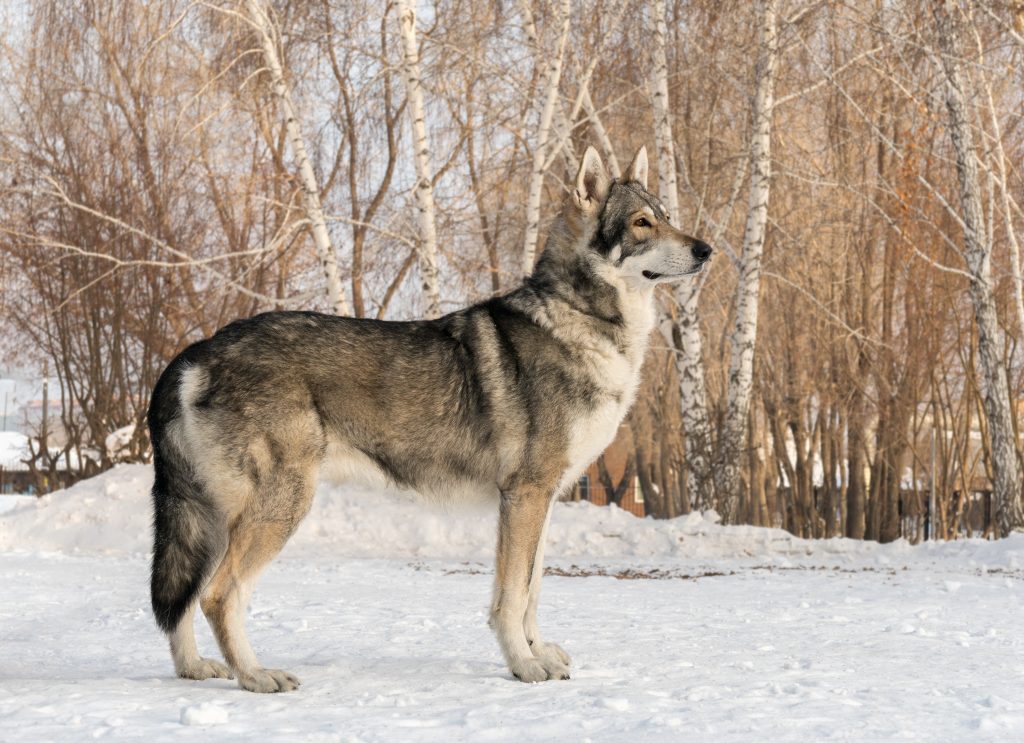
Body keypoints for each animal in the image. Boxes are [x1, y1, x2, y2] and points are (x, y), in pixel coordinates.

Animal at [148, 145, 712, 691]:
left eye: (666, 216)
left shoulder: (543, 499)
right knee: (219, 595)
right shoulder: (524, 496)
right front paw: (522, 666)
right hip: (277, 507)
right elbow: (511, 597)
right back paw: (256, 675)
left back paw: (194, 669)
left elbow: (532, 591)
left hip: (209, 519)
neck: (581, 320)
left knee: (182, 600)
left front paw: (538, 652)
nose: (705, 250)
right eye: (642, 223)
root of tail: (199, 349)